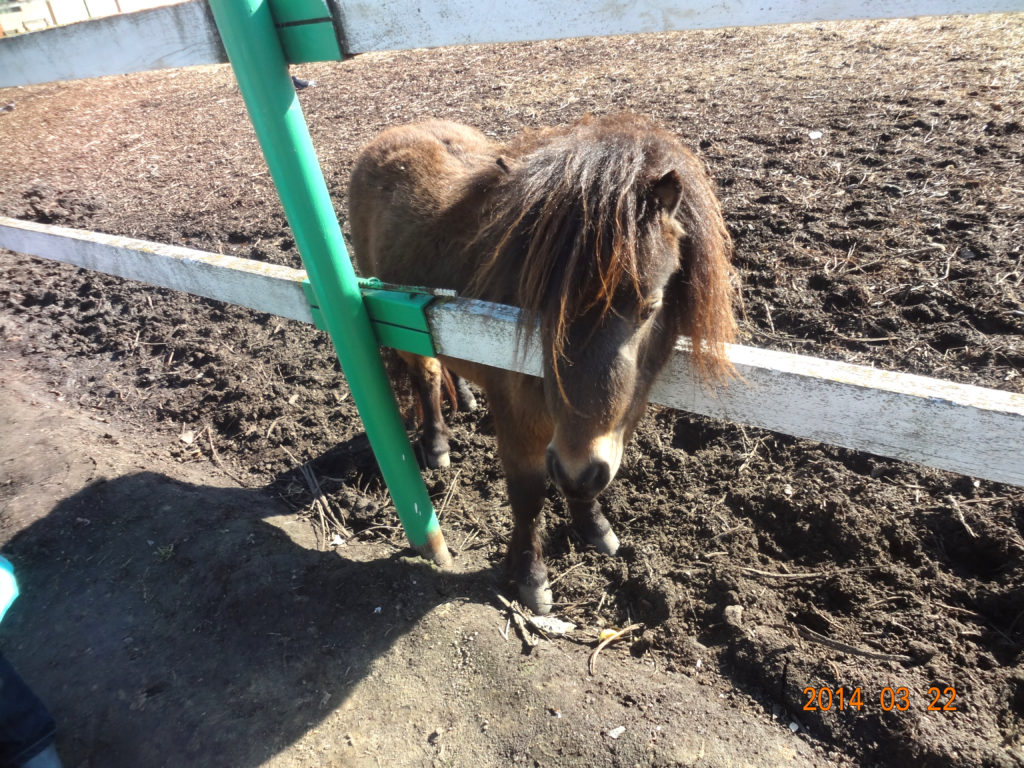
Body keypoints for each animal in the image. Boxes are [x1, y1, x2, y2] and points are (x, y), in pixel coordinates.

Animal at [352, 114, 737, 618]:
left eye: (650, 307)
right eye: (542, 302)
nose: (576, 468)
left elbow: (587, 487)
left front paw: (595, 529)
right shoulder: (520, 422)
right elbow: (529, 497)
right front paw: (531, 578)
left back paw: (467, 395)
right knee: (427, 377)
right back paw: (436, 445)